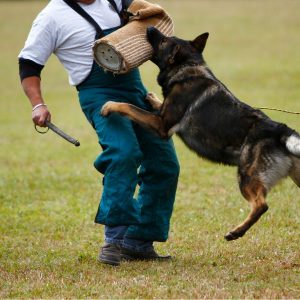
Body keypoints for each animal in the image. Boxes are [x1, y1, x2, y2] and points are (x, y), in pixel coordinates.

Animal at [101, 27, 300, 240]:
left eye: (163, 41)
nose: (149, 28)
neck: (189, 66)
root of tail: (281, 129)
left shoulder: (161, 125)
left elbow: (129, 106)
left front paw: (110, 106)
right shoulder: (161, 116)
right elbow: (156, 104)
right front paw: (152, 97)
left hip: (246, 176)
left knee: (261, 205)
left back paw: (236, 231)